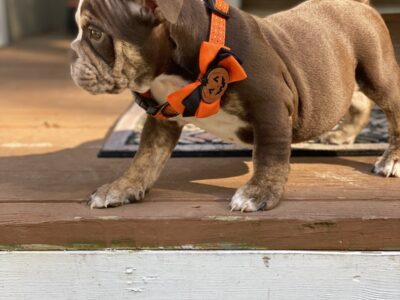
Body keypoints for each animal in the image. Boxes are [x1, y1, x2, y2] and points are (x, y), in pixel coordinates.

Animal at [70, 0, 398, 212]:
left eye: (95, 33)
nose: (72, 52)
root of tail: (359, 4)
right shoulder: (162, 119)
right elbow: (145, 158)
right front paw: (121, 188)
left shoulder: (271, 107)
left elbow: (269, 155)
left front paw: (259, 192)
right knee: (355, 100)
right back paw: (343, 135)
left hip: (378, 74)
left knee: (393, 114)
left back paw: (391, 159)